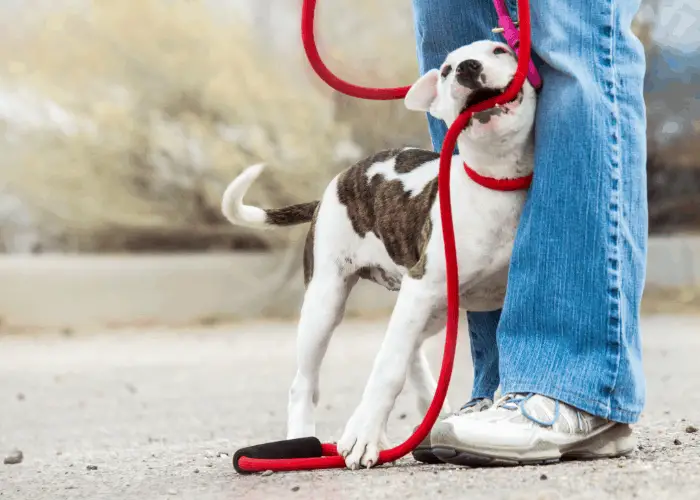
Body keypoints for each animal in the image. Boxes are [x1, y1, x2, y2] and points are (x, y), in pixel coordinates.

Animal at [221, 41, 540, 470]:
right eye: (446, 70)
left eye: (501, 49)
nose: (468, 68)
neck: (497, 181)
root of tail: (329, 192)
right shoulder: (422, 288)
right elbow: (388, 367)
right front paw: (364, 436)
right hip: (326, 302)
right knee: (305, 383)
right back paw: (304, 439)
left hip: (433, 307)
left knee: (413, 352)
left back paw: (429, 413)